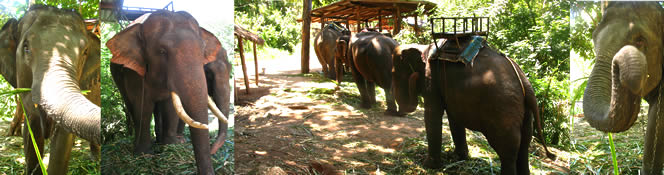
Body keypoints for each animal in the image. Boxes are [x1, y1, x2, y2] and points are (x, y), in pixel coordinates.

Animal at [109, 10, 231, 174]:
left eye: (202, 51)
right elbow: (143, 106)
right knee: (131, 105)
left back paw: (161, 141)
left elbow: (170, 106)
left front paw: (171, 145)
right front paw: (144, 154)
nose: (212, 151)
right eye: (162, 51)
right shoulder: (133, 72)